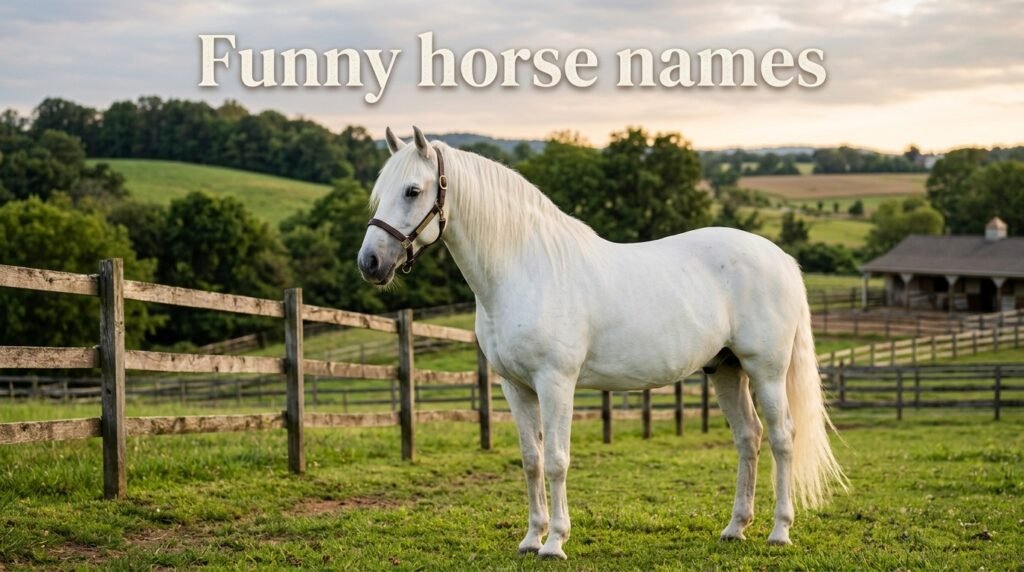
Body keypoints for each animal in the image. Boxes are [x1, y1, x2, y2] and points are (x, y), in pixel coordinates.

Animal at [357, 126, 847, 560]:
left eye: (413, 191)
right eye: (381, 192)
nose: (370, 262)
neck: (526, 269)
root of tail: (780, 257)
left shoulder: (556, 383)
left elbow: (557, 459)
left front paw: (555, 543)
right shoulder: (514, 387)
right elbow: (531, 459)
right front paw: (531, 539)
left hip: (766, 371)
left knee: (782, 438)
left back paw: (779, 532)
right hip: (725, 370)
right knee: (749, 438)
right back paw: (734, 529)